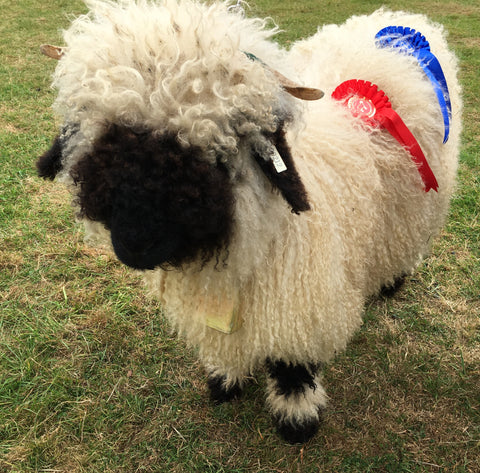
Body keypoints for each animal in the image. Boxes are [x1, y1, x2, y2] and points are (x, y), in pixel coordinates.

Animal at [36, 0, 462, 442]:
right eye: (105, 139)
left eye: (219, 154)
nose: (135, 245)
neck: (252, 230)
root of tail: (399, 21)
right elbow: (227, 342)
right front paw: (226, 378)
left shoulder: (300, 298)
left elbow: (293, 361)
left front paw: (296, 415)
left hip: (415, 208)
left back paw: (391, 282)